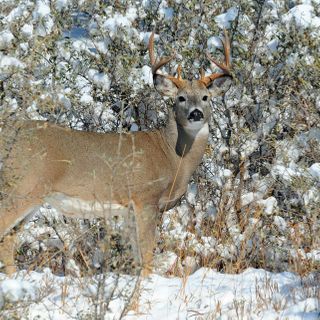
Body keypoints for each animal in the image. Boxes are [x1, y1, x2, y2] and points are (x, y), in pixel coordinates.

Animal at [0, 30, 230, 276]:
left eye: (206, 97)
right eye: (181, 98)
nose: (196, 113)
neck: (172, 156)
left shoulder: (129, 210)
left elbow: (138, 256)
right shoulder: (145, 197)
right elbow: (147, 256)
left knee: (8, 240)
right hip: (23, 185)